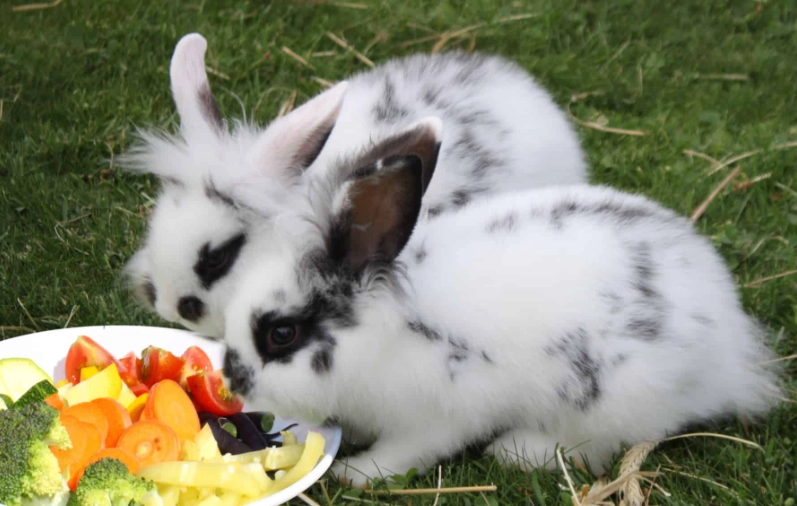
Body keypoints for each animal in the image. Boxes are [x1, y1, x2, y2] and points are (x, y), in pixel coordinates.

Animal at [219, 119, 782, 488]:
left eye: (281, 334)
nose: (231, 379)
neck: (382, 331)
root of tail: (731, 346)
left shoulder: (437, 415)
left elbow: (408, 452)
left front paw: (357, 472)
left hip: (611, 398)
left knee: (596, 446)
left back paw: (518, 450)